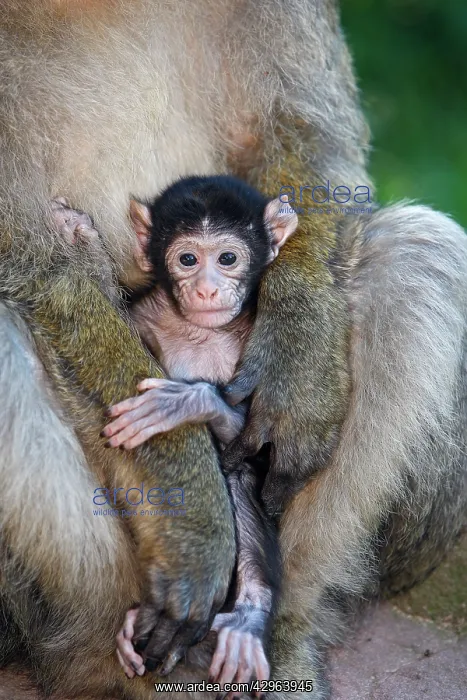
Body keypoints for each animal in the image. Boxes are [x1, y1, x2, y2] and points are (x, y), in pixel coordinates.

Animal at [1, 3, 467, 700]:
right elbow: (44, 268)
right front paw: (195, 525)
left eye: (227, 257)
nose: (207, 288)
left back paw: (271, 631)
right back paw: (102, 661)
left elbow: (304, 134)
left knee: (420, 253)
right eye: (186, 259)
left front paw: (299, 362)